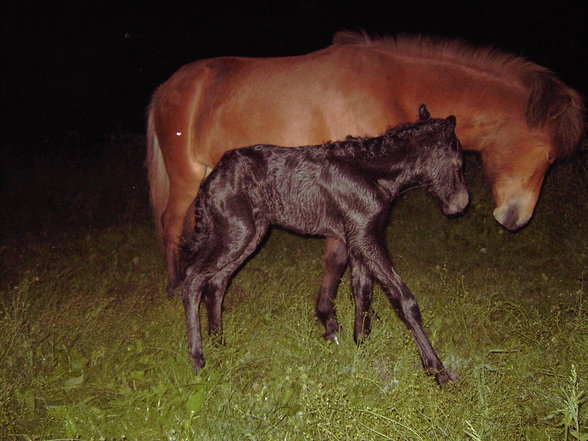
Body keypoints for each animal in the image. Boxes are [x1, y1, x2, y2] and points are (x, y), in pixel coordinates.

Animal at [147, 31, 584, 292]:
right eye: (549, 155)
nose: (516, 218)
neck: (394, 86)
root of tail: (167, 87)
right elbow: (339, 259)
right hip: (186, 178)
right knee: (170, 225)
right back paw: (173, 287)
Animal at [184, 105, 468, 384]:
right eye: (458, 163)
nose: (461, 204)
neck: (373, 173)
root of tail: (210, 179)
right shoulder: (365, 237)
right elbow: (403, 299)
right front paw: (437, 370)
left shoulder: (356, 238)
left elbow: (362, 292)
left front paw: (361, 344)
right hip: (237, 232)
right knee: (193, 277)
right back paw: (198, 359)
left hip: (251, 233)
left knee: (217, 282)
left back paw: (219, 343)